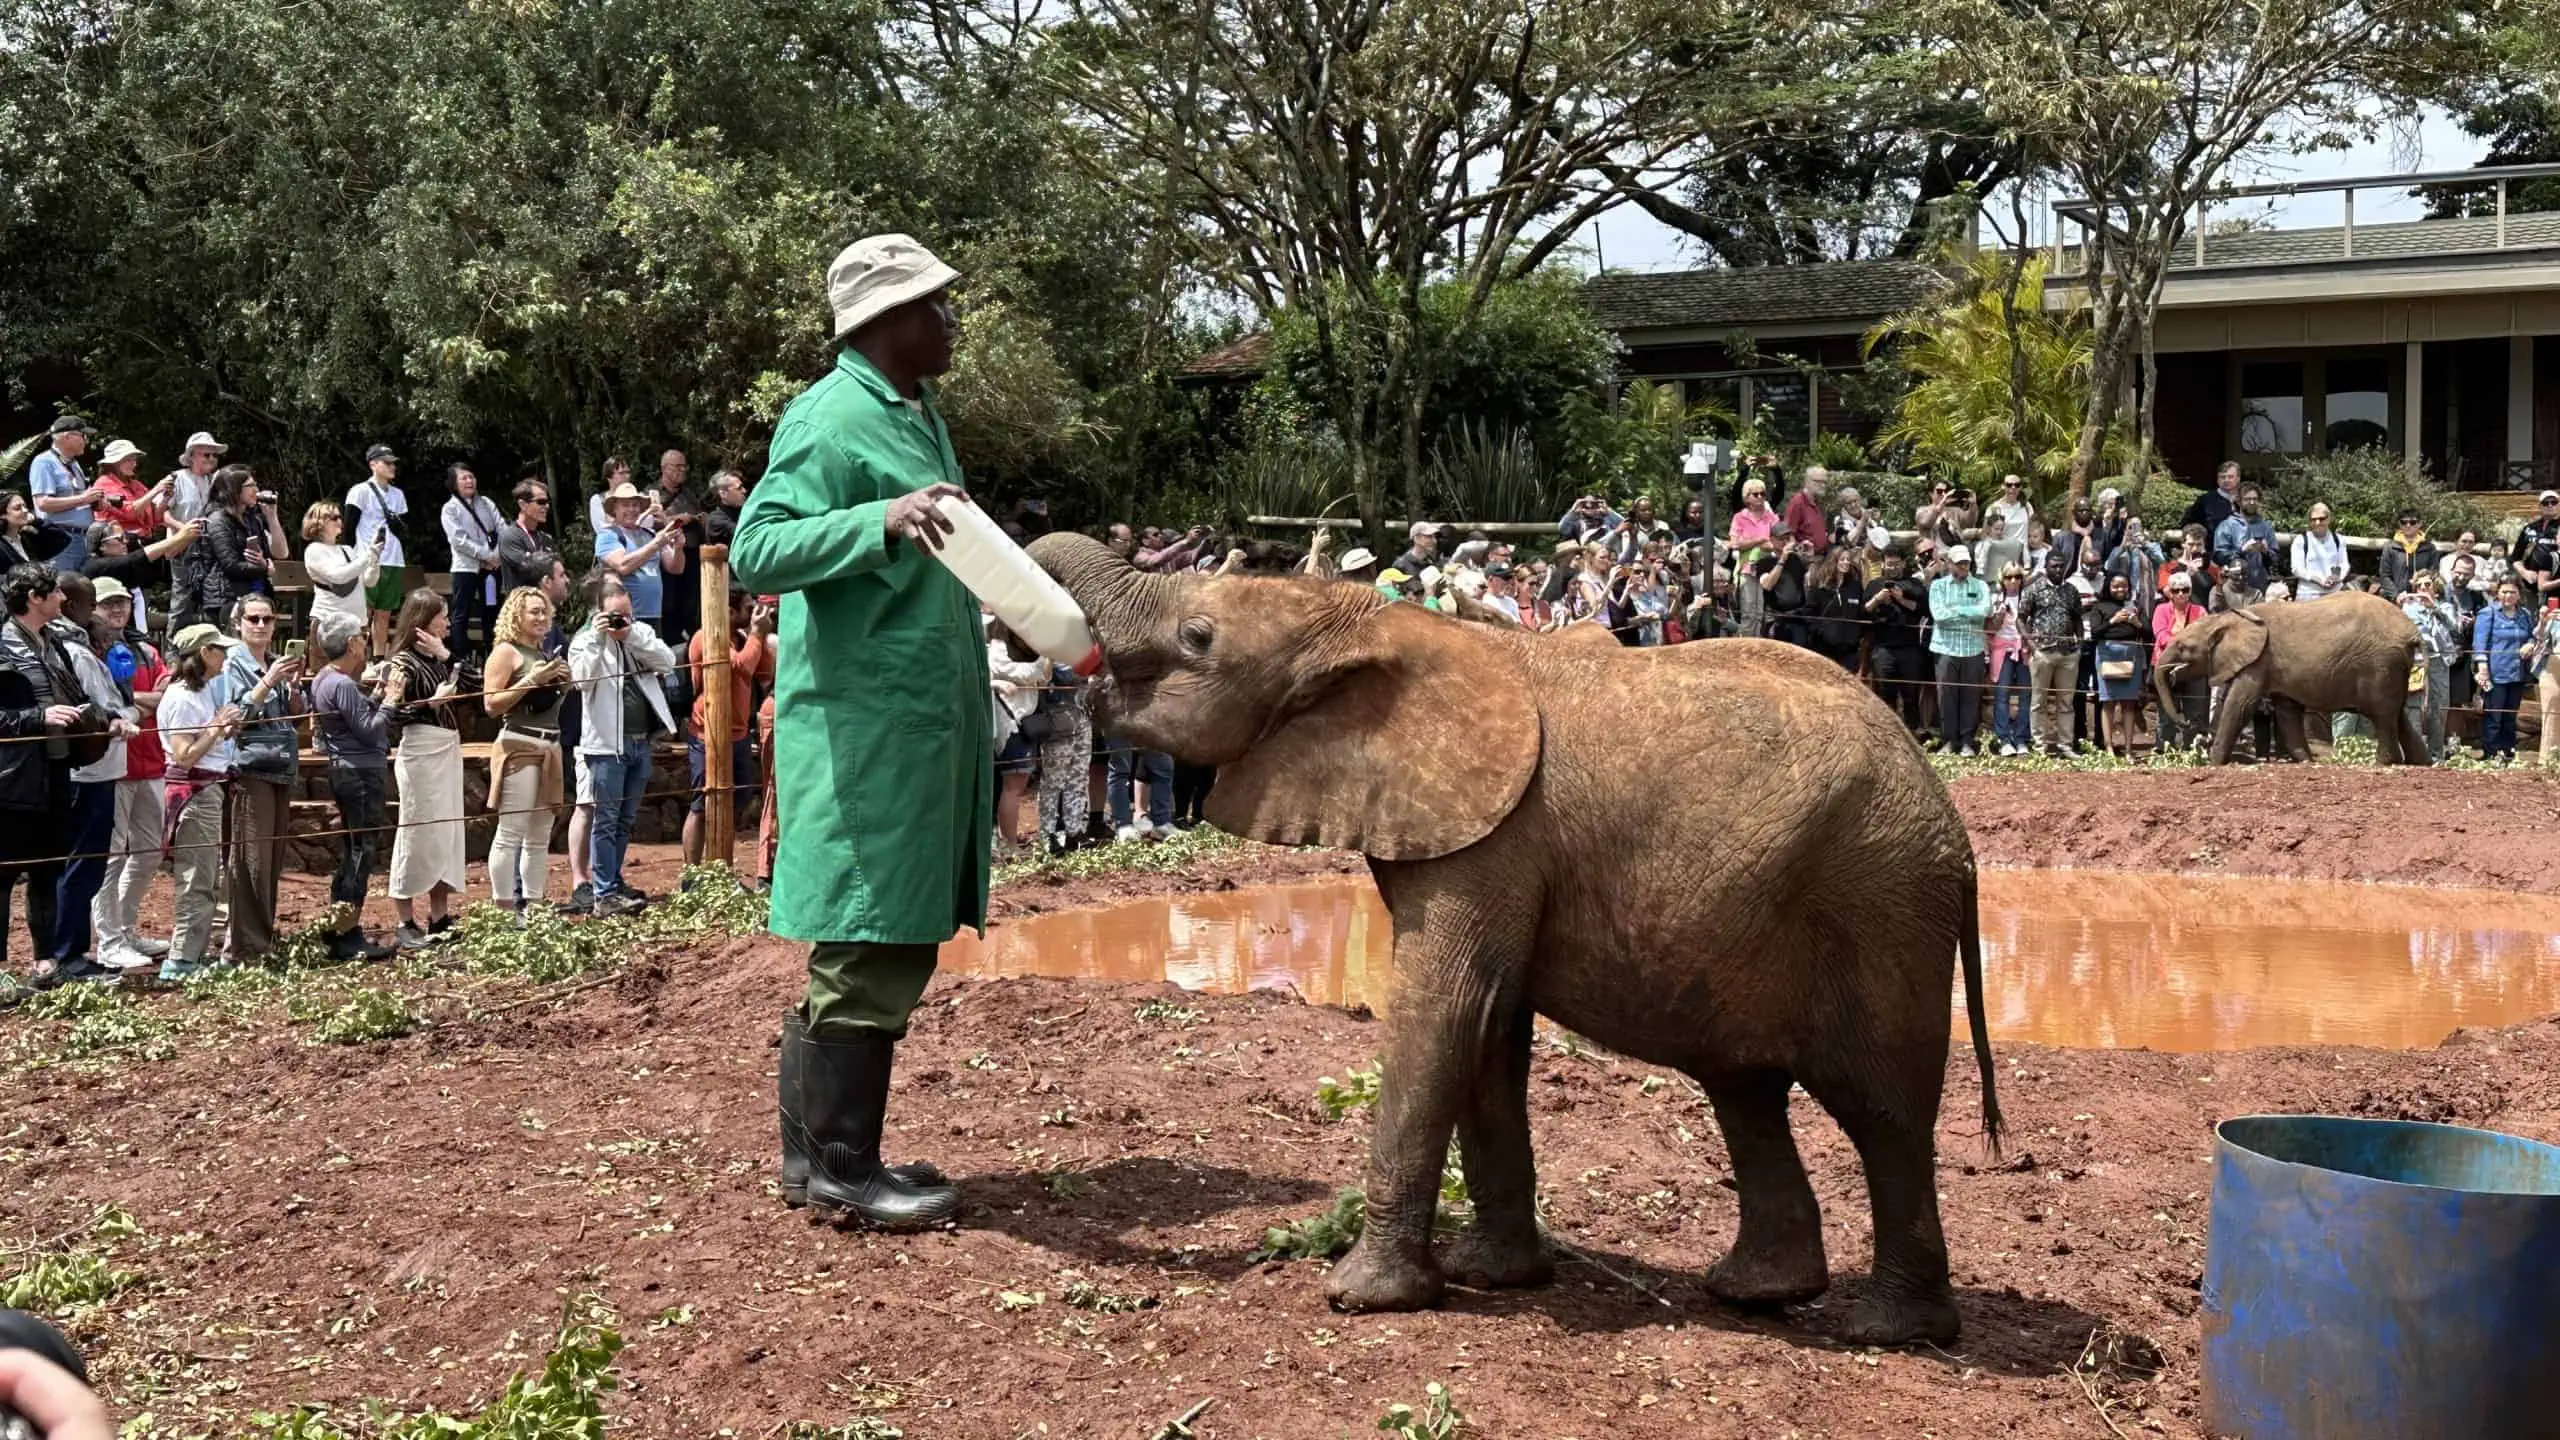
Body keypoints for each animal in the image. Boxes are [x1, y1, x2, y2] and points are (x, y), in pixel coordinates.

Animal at [1027, 532, 2004, 1346]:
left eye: (1198, 637)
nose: (1072, 658)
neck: (1376, 621)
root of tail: (1958, 838)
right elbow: (1489, 1030)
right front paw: (1489, 1278)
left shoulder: (1493, 837)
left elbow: (1447, 1007)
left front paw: (1360, 1298)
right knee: (1744, 1088)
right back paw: (1756, 1294)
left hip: (1878, 904)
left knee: (1880, 1110)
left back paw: (1888, 1331)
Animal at [2151, 591, 2425, 765]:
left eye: (2184, 647)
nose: (2188, 723)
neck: (2232, 617)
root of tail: (2412, 634)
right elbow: (2287, 713)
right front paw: (2308, 762)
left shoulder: (2259, 660)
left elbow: (2240, 705)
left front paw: (2213, 764)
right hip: (2392, 668)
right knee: (2398, 715)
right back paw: (2421, 763)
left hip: (2381, 665)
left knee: (2384, 716)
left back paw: (2385, 763)